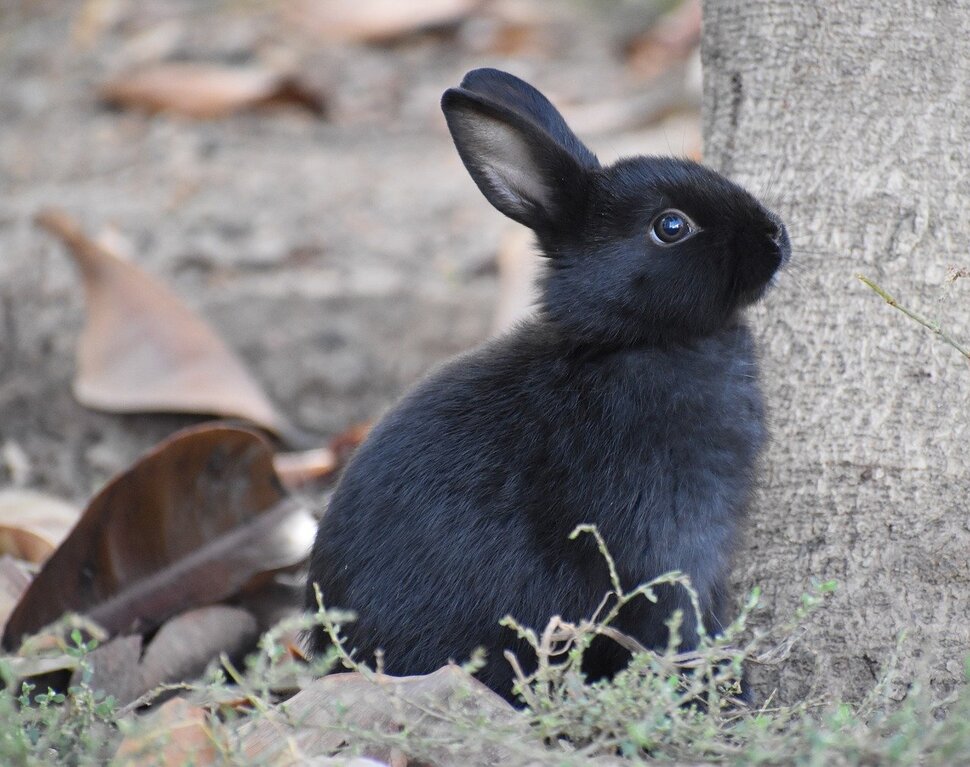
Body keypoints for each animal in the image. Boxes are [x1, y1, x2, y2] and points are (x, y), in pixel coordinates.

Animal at [302, 69, 788, 700]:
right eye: (671, 226)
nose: (776, 236)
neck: (633, 341)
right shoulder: (667, 539)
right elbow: (680, 619)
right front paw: (719, 693)